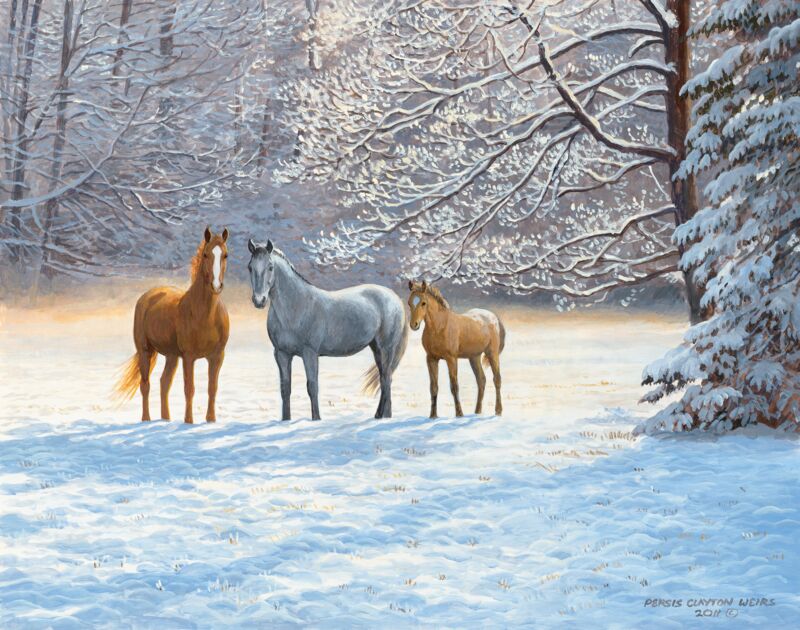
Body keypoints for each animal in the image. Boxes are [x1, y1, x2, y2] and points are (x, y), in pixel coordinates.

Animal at [115, 227, 230, 423]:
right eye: (206, 254)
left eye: (225, 255)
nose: (216, 286)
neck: (205, 315)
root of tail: (148, 296)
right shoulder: (189, 357)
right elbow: (189, 389)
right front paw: (189, 422)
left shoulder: (217, 356)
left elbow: (212, 388)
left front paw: (211, 420)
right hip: (145, 351)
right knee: (145, 385)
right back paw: (146, 419)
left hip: (171, 356)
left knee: (164, 383)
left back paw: (166, 419)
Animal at [247, 238, 408, 421]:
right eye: (250, 267)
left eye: (270, 267)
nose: (259, 300)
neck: (295, 306)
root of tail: (395, 298)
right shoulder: (281, 354)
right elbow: (285, 388)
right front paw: (285, 420)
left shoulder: (309, 353)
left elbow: (312, 387)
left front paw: (316, 419)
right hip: (376, 349)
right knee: (383, 378)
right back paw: (379, 415)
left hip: (386, 348)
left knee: (387, 380)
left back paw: (385, 417)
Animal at [407, 280, 505, 418]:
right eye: (409, 303)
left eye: (423, 303)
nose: (414, 325)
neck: (439, 327)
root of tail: (494, 317)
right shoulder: (431, 359)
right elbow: (433, 387)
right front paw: (433, 416)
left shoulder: (451, 359)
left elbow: (454, 386)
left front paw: (459, 414)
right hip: (474, 357)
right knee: (481, 380)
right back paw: (477, 412)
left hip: (492, 354)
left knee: (497, 379)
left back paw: (498, 411)